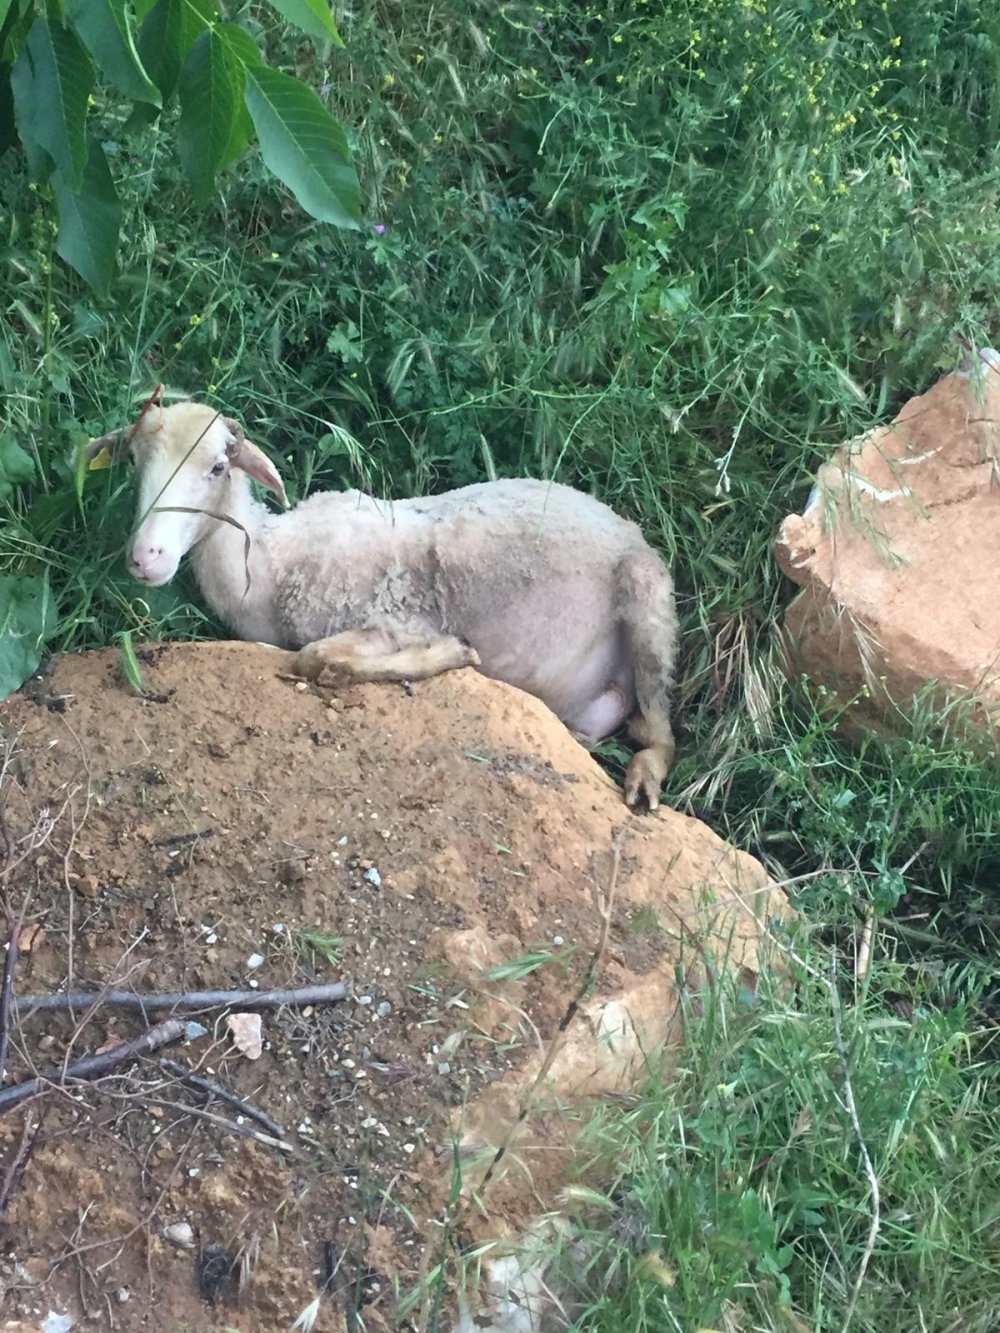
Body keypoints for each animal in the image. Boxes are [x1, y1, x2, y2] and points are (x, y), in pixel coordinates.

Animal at [90, 391, 682, 810]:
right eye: (134, 461)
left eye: (217, 467)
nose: (145, 556)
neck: (269, 560)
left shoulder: (395, 616)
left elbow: (316, 658)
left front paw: (450, 654)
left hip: (650, 597)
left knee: (661, 731)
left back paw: (643, 777)